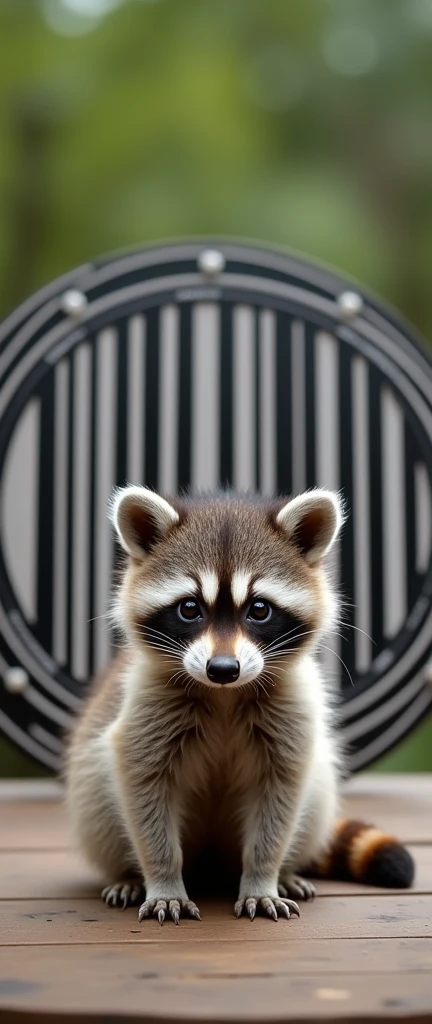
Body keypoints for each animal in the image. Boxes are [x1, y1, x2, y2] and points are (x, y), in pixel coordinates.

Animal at [66, 483, 413, 925]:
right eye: (190, 608)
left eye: (259, 609)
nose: (222, 669)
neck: (224, 694)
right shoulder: (145, 707)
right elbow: (143, 786)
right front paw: (163, 879)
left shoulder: (291, 712)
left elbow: (279, 797)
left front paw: (263, 877)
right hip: (92, 791)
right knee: (99, 797)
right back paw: (128, 875)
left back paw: (286, 871)